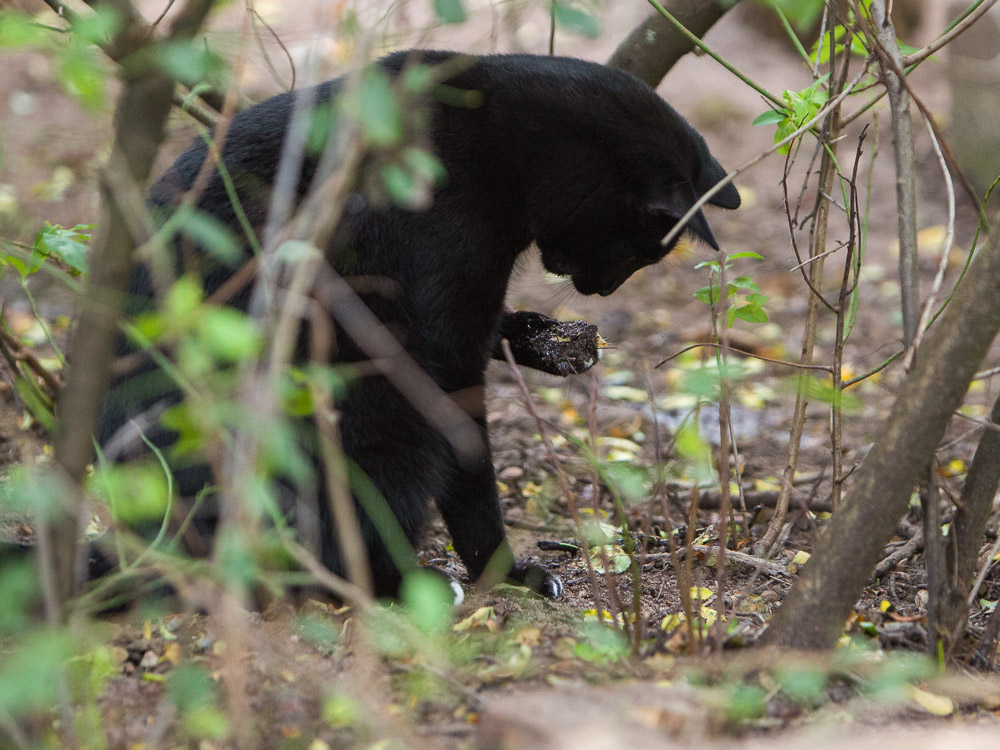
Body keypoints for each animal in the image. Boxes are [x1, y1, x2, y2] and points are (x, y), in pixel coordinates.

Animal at [94, 50, 740, 604]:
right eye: (642, 250)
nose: (602, 290)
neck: (507, 152)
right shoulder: (446, 334)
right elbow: (472, 463)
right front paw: (504, 569)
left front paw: (551, 343)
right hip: (374, 404)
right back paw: (411, 584)